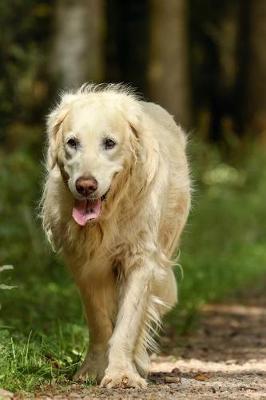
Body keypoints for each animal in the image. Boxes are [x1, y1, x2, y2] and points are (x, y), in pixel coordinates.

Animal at [40, 83, 190, 388]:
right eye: (72, 142)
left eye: (109, 143)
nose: (85, 186)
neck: (106, 217)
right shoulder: (84, 265)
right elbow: (99, 321)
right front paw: (94, 369)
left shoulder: (141, 259)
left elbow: (128, 323)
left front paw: (122, 373)